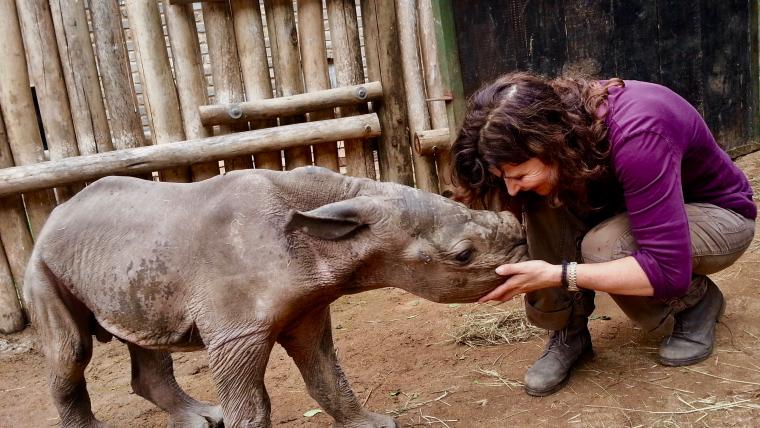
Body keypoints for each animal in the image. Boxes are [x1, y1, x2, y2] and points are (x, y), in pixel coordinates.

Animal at [22, 166, 524, 426]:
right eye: (463, 256)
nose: (521, 249)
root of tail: (54, 215)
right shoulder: (237, 333)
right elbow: (252, 403)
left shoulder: (309, 308)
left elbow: (326, 374)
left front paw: (374, 425)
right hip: (41, 262)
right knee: (71, 351)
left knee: (146, 338)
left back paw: (201, 418)